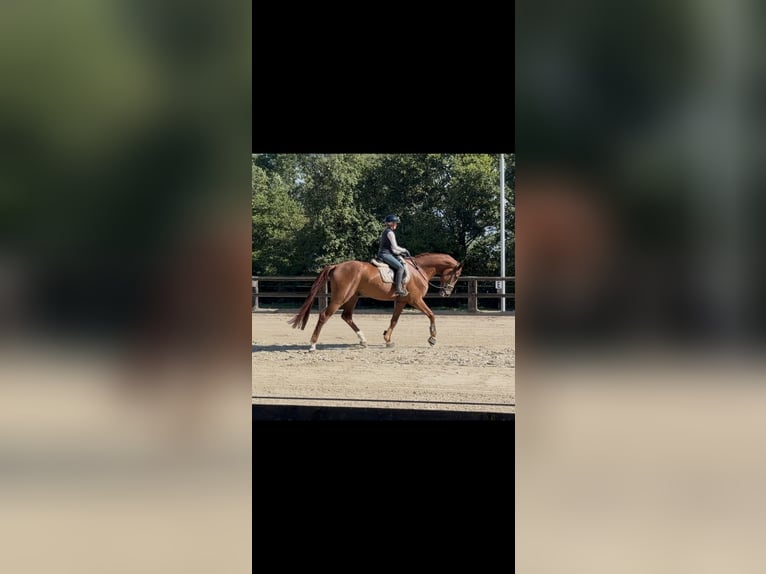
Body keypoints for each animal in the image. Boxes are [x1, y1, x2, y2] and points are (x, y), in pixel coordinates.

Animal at [288, 253, 464, 352]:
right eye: (456, 276)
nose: (446, 293)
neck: (418, 270)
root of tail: (337, 266)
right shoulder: (415, 300)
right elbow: (431, 315)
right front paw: (432, 338)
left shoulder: (401, 301)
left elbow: (394, 320)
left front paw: (387, 339)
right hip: (341, 297)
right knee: (324, 315)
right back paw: (312, 344)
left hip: (353, 297)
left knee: (347, 316)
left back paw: (363, 340)